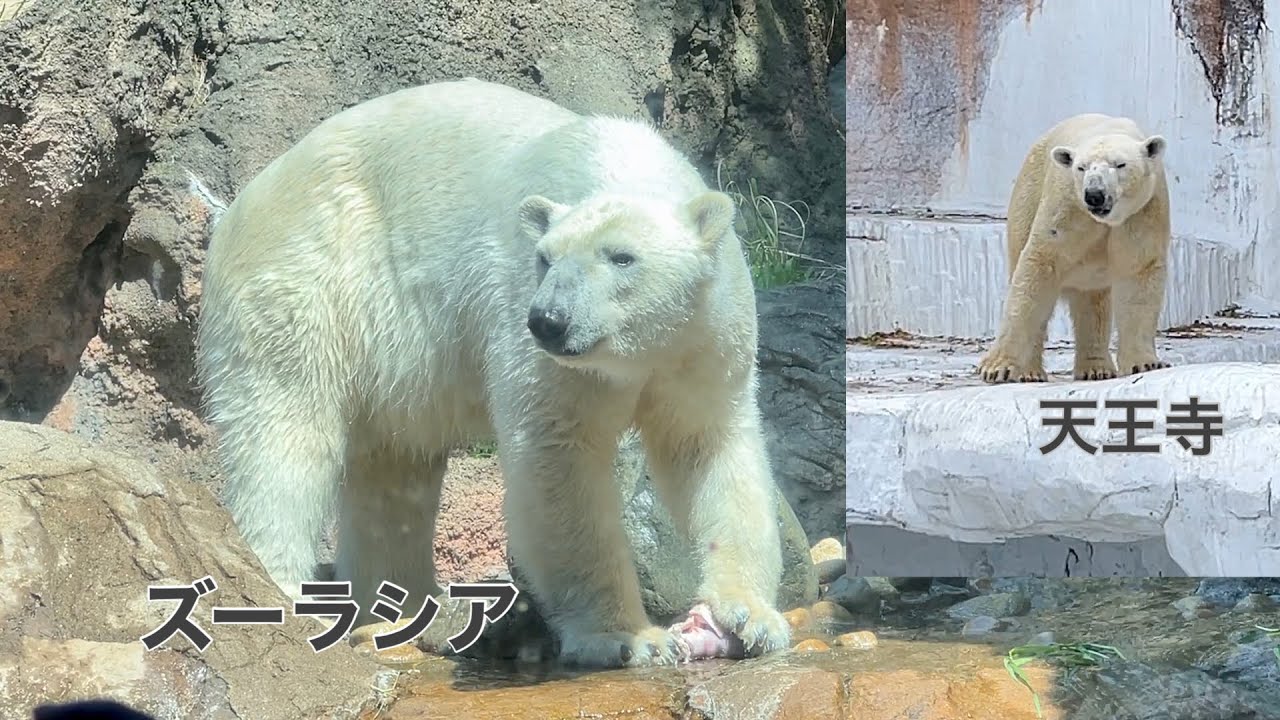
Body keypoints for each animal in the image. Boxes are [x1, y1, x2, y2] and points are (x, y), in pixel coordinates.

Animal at [194, 78, 791, 668]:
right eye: (545, 258)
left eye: (622, 256)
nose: (549, 320)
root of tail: (240, 205)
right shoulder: (538, 340)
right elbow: (558, 457)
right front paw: (627, 638)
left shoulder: (703, 339)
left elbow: (707, 448)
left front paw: (748, 617)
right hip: (305, 276)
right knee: (285, 441)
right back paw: (285, 596)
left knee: (392, 470)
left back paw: (403, 608)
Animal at [977, 113, 1171, 384]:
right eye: (1081, 168)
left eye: (1120, 164)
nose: (1094, 194)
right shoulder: (1066, 206)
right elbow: (1040, 266)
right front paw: (997, 368)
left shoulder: (1144, 211)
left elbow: (1138, 271)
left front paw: (1143, 363)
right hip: (1027, 195)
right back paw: (1030, 372)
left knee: (1093, 301)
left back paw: (1096, 368)